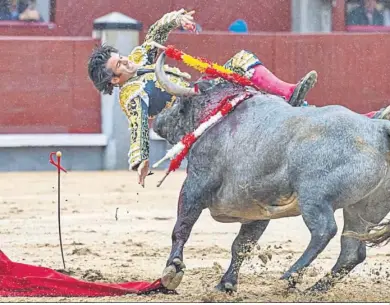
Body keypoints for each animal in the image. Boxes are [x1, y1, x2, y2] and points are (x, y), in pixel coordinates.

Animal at [151, 51, 390, 292]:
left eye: (178, 103)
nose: (158, 122)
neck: (222, 112)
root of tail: (378, 129)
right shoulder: (258, 208)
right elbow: (242, 244)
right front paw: (226, 284)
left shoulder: (196, 183)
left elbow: (183, 226)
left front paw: (172, 269)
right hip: (364, 208)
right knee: (352, 251)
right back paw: (314, 290)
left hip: (314, 196)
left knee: (324, 230)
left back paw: (290, 276)